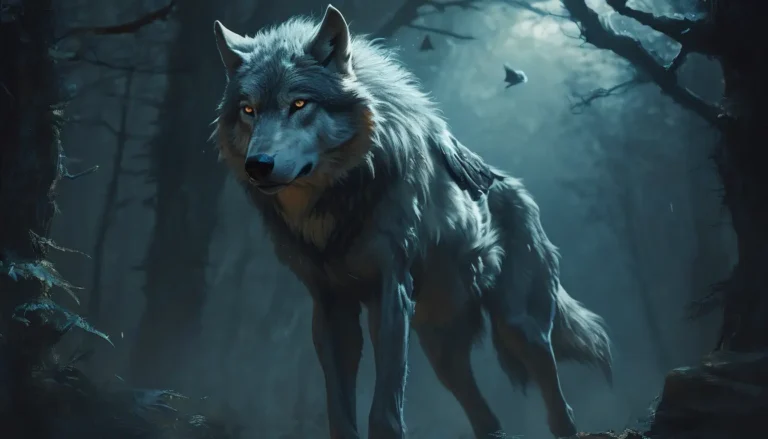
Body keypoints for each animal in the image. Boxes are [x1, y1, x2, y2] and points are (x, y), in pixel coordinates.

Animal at [211, 5, 612, 439]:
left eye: (299, 104)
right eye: (248, 110)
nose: (257, 165)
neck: (336, 203)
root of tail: (515, 185)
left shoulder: (391, 291)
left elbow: (385, 405)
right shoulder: (330, 305)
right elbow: (339, 406)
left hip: (520, 329)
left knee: (559, 408)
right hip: (440, 349)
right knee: (487, 419)